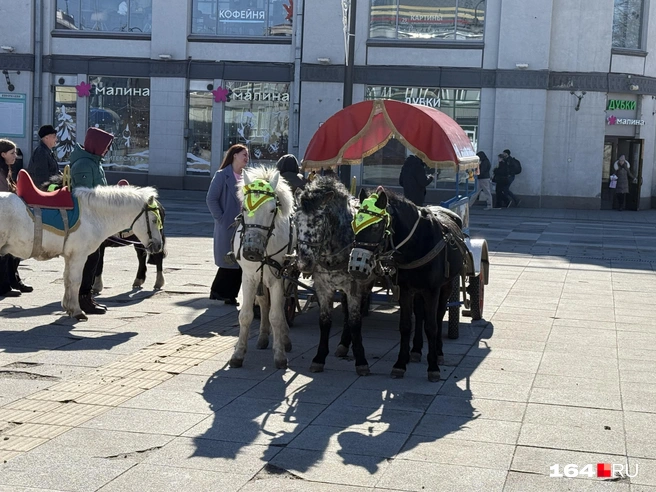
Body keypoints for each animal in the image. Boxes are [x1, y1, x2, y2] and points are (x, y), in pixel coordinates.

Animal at [0, 184, 163, 320]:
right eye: (154, 220)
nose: (158, 245)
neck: (92, 215)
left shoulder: (70, 256)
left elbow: (67, 280)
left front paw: (69, 307)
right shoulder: (79, 255)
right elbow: (76, 281)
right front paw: (78, 311)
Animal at [229, 165, 294, 368]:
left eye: (273, 209)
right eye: (244, 207)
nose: (252, 251)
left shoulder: (278, 277)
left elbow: (276, 315)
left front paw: (280, 355)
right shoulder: (249, 277)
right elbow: (246, 315)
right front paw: (239, 353)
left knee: (280, 304)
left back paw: (285, 339)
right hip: (261, 277)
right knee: (265, 303)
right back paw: (264, 337)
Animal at [294, 177, 372, 376]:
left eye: (318, 220)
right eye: (296, 220)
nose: (304, 263)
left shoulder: (354, 287)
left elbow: (355, 321)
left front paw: (361, 360)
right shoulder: (323, 287)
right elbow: (324, 322)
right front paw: (319, 358)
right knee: (345, 310)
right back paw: (344, 344)